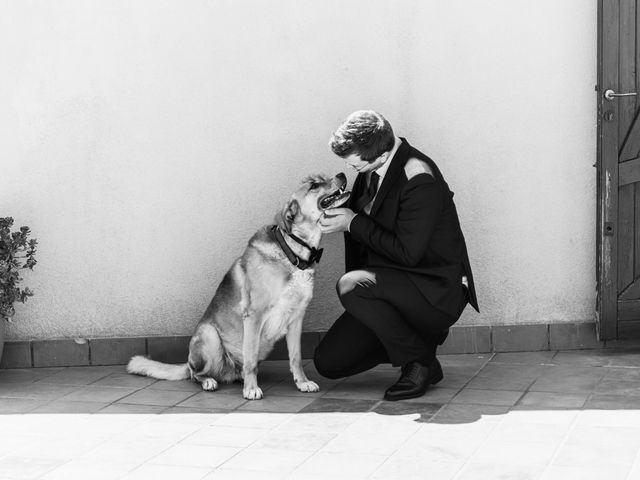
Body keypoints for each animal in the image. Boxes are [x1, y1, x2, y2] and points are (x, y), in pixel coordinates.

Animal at [127, 172, 350, 398]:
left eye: (323, 177)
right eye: (314, 185)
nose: (341, 174)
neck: (292, 253)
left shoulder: (296, 318)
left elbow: (295, 357)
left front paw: (302, 382)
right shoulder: (254, 316)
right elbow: (250, 360)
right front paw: (251, 389)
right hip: (209, 335)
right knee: (196, 374)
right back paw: (210, 381)